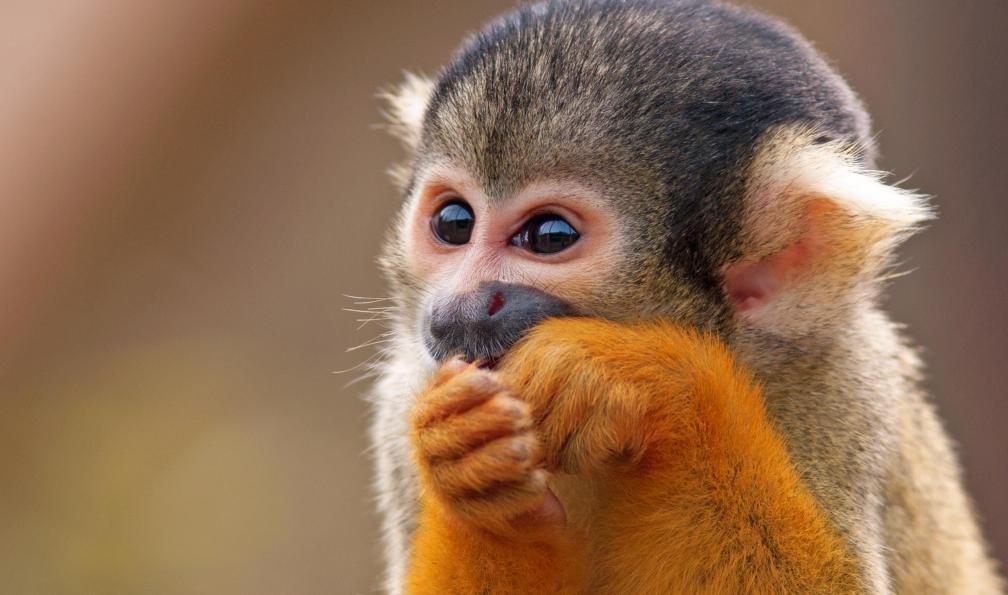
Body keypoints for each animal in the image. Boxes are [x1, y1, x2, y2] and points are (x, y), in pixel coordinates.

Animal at [368, 0, 1005, 593]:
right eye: (454, 222)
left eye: (549, 236)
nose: (463, 306)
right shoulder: (405, 399)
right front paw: (476, 478)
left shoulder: (844, 384)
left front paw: (649, 379)